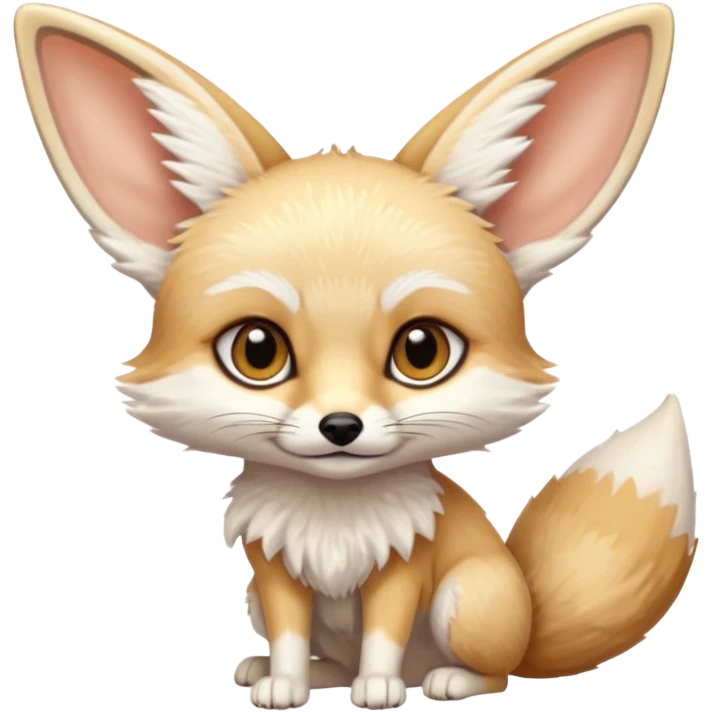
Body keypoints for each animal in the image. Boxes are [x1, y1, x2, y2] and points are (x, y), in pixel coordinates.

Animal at [14, 1, 696, 709]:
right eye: (258, 350)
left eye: (422, 351)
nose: (339, 426)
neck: (333, 519)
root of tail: (531, 619)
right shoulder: (274, 573)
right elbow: (292, 636)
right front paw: (286, 685)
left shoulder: (404, 568)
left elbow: (384, 636)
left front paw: (379, 688)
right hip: (256, 598)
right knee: (328, 656)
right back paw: (295, 673)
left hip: (469, 596)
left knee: (499, 670)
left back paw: (444, 680)